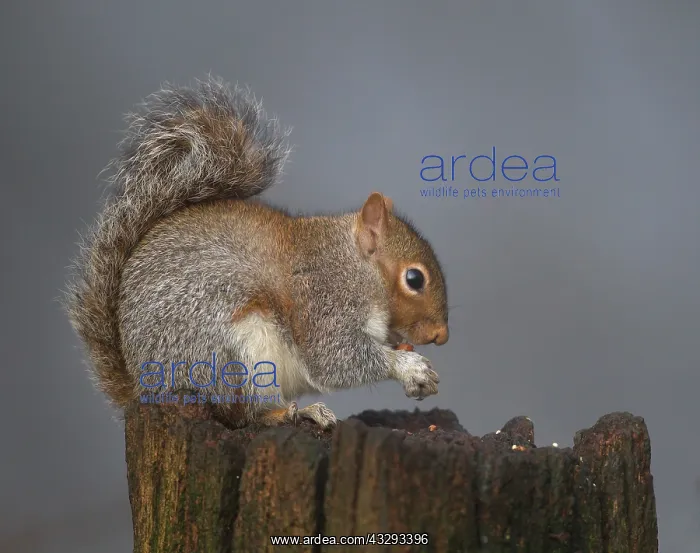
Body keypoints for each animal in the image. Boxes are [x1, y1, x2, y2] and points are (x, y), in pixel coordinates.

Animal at [65, 76, 449, 430]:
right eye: (414, 279)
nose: (441, 336)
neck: (353, 264)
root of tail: (143, 387)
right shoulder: (324, 303)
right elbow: (336, 361)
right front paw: (410, 368)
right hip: (229, 358)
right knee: (240, 415)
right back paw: (292, 413)